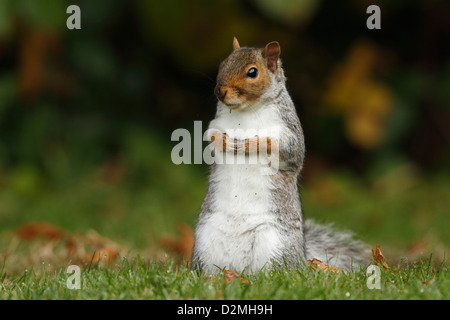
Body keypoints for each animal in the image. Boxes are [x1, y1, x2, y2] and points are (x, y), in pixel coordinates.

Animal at [191, 37, 370, 272]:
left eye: (252, 72)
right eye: (223, 64)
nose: (219, 92)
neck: (246, 111)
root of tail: (239, 268)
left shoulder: (289, 132)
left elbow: (288, 151)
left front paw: (251, 143)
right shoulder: (216, 124)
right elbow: (211, 140)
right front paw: (222, 142)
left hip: (276, 245)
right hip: (205, 242)